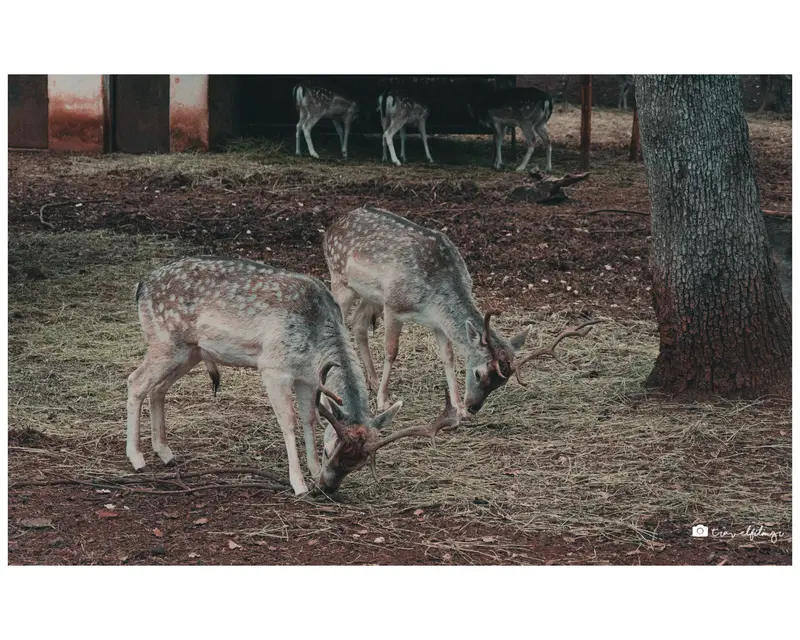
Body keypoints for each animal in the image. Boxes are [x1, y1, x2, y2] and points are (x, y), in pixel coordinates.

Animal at [126, 256, 458, 496]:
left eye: (360, 463)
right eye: (330, 450)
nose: (328, 488)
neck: (314, 340)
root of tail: (140, 286)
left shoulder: (308, 378)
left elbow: (310, 418)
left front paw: (311, 470)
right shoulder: (274, 368)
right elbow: (288, 422)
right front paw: (298, 483)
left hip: (190, 351)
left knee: (158, 389)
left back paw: (165, 452)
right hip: (165, 342)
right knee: (135, 382)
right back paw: (137, 458)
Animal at [324, 205, 598, 419]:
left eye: (502, 382)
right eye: (478, 373)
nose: (474, 407)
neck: (433, 297)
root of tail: (331, 226)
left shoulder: (436, 322)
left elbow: (448, 356)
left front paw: (456, 406)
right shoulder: (394, 304)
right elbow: (392, 352)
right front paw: (383, 401)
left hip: (369, 295)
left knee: (358, 323)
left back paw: (369, 382)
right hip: (341, 279)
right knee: (339, 320)